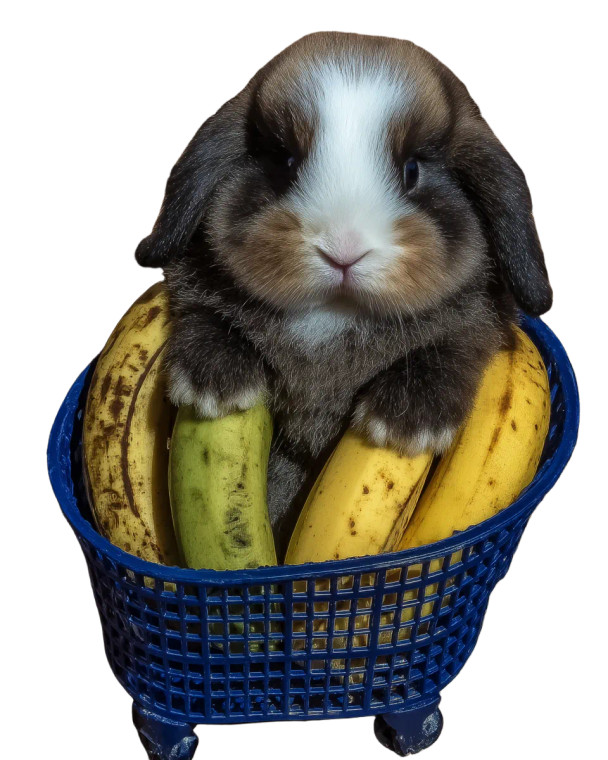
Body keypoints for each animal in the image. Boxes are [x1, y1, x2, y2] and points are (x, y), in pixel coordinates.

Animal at [135, 32, 552, 559]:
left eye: (412, 170)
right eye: (284, 162)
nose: (343, 249)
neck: (330, 317)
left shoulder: (480, 321)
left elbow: (453, 345)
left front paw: (405, 424)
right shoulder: (192, 284)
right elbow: (205, 310)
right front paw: (216, 386)